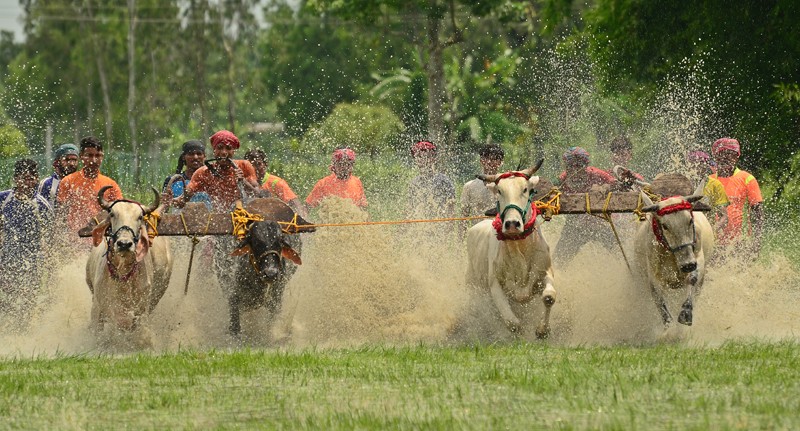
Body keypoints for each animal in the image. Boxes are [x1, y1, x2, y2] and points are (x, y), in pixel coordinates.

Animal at [465, 160, 556, 339]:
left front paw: (542, 330)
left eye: (525, 189)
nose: (512, 224)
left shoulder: (545, 272)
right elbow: (513, 324)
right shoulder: (495, 284)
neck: (519, 247)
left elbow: (549, 297)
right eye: (499, 191)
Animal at [633, 180, 714, 327]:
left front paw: (686, 313)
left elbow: (693, 279)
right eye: (665, 226)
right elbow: (659, 300)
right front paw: (669, 326)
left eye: (690, 220)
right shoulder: (653, 275)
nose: (687, 265)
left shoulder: (698, 259)